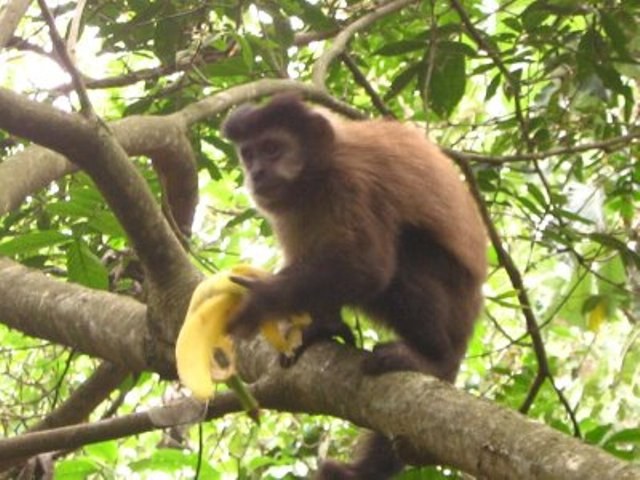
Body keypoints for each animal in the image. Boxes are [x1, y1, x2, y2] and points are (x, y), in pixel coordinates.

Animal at [221, 94, 487, 479]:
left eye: (272, 149)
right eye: (249, 153)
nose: (255, 172)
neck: (317, 175)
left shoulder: (351, 180)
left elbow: (367, 267)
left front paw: (261, 299)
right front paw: (322, 327)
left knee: (402, 260)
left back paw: (434, 359)